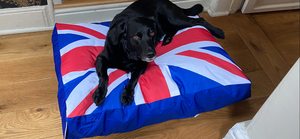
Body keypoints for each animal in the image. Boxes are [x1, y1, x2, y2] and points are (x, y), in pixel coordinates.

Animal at [92, 0, 224, 105]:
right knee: (176, 28)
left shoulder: (142, 65)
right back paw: (167, 38)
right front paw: (99, 93)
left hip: (174, 19)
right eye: (136, 37)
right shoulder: (100, 59)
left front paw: (127, 94)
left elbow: (133, 79)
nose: (151, 54)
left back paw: (217, 31)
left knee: (199, 20)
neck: (127, 53)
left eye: (152, 33)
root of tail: (168, 1)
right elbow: (104, 76)